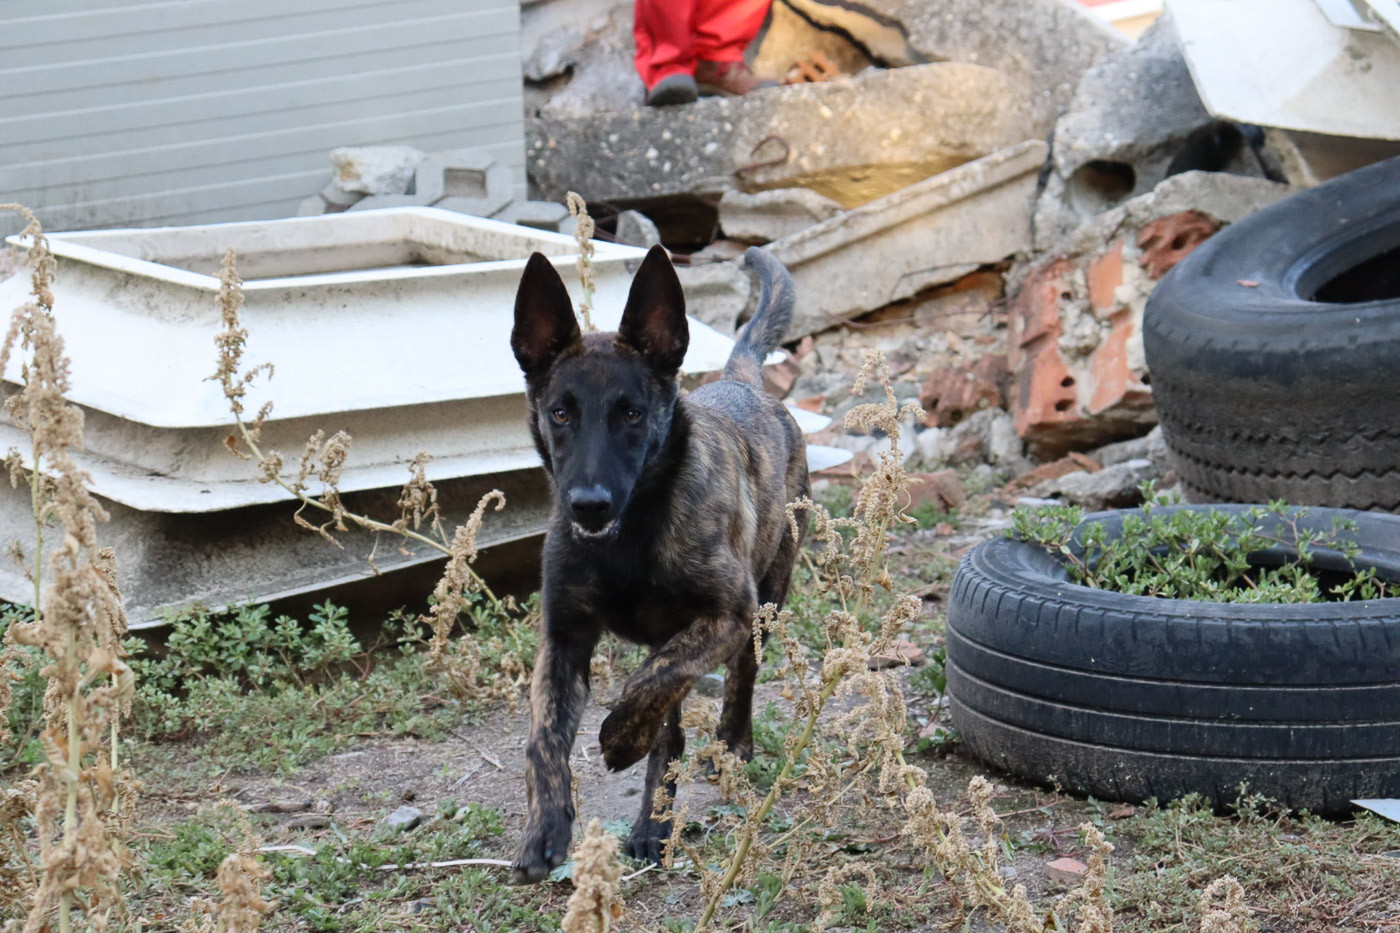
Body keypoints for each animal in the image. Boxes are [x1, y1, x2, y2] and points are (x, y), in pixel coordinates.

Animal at [507, 244, 809, 883]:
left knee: (737, 679)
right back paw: (653, 822)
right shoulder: (563, 638)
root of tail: (739, 383)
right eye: (560, 413)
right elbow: (544, 737)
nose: (588, 504)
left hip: (767, 602)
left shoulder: (725, 616)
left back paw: (726, 750)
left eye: (632, 414)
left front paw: (620, 742)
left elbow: (650, 685)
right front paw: (545, 828)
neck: (628, 537)